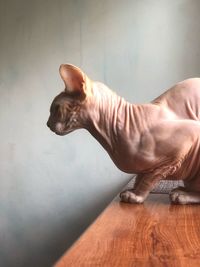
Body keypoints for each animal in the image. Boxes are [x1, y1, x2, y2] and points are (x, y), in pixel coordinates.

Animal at [46, 64, 200, 205]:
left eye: (55, 108)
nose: (47, 124)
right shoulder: (144, 167)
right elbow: (140, 176)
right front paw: (133, 190)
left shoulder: (179, 149)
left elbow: (149, 178)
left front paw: (137, 196)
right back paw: (181, 190)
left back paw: (182, 196)